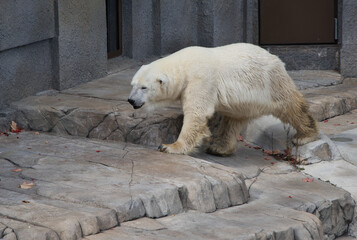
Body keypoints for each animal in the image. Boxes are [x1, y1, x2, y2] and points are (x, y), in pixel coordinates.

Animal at [128, 43, 318, 156]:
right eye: (133, 85)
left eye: (144, 88)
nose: (131, 100)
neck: (183, 66)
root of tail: (276, 58)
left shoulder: (201, 80)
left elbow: (196, 114)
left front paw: (169, 146)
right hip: (245, 100)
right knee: (233, 120)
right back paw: (219, 147)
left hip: (271, 82)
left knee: (290, 106)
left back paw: (305, 135)